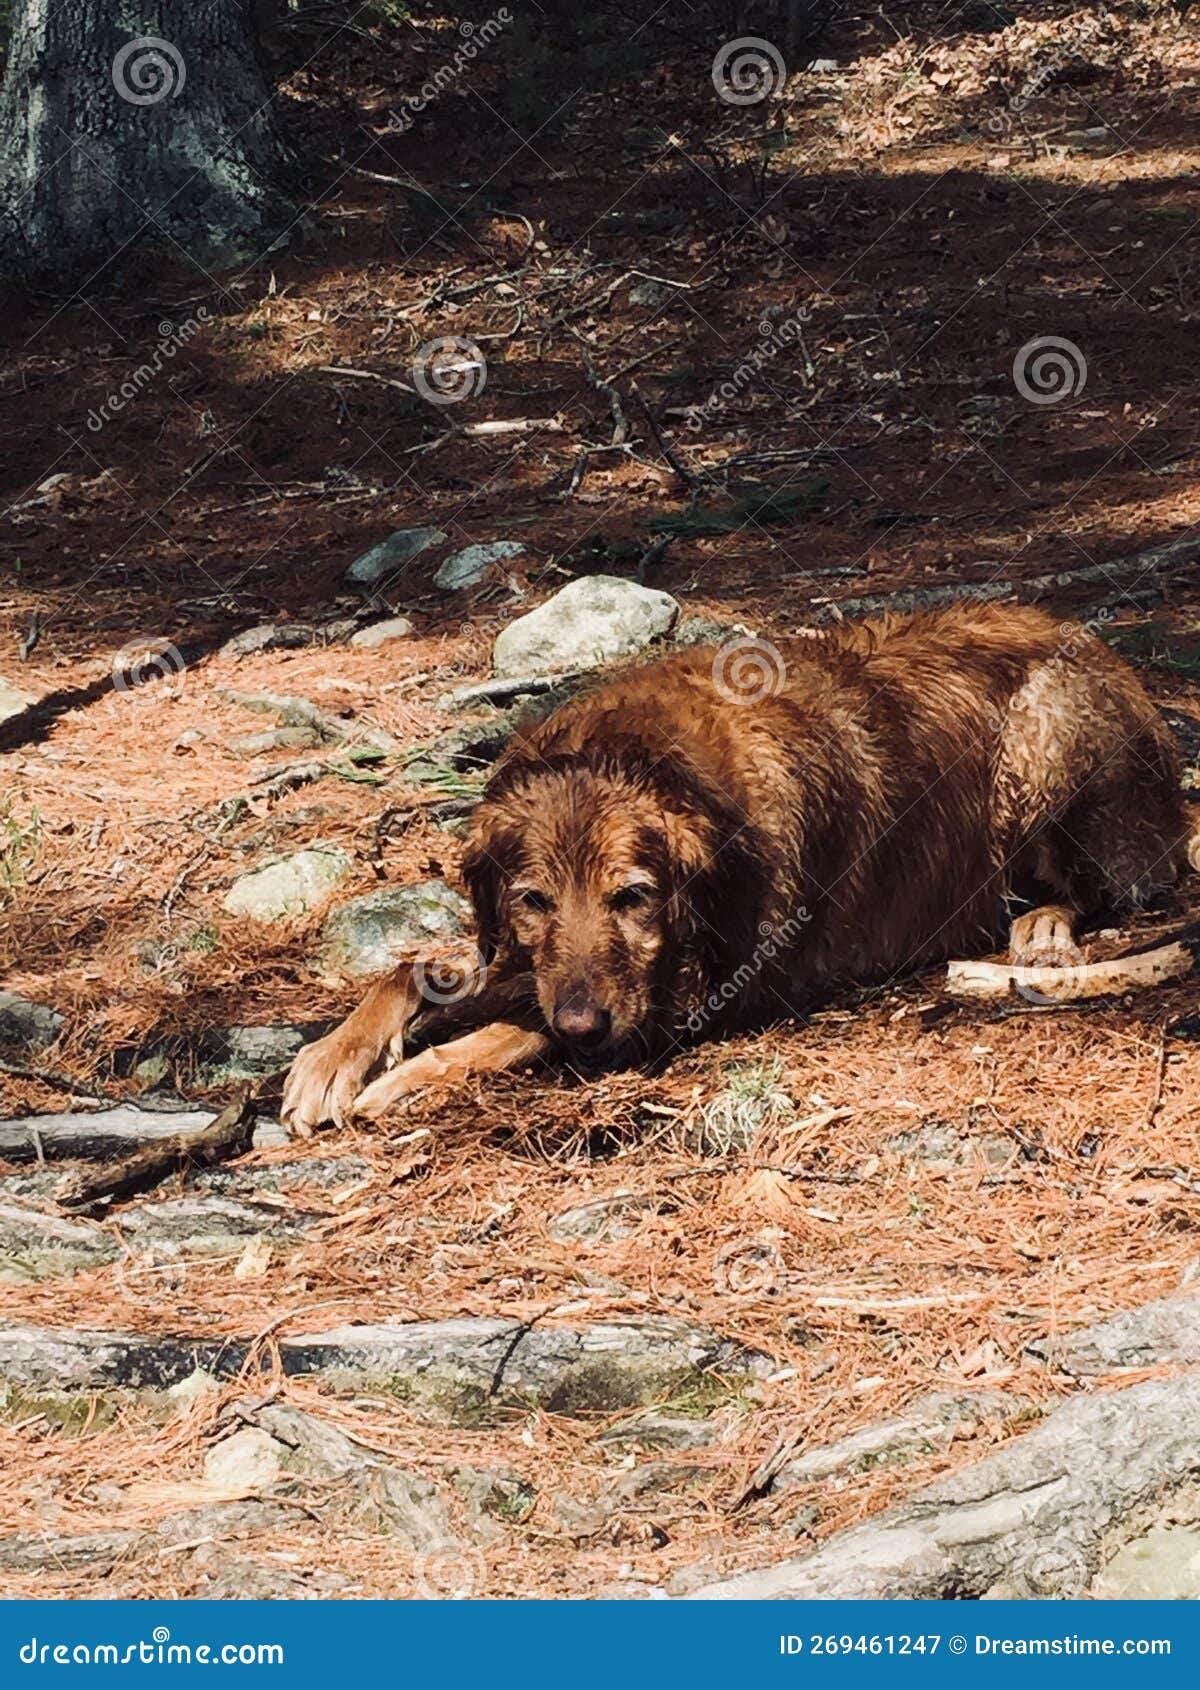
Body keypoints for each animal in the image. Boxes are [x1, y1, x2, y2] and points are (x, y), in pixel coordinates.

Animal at [282, 601, 1196, 1128]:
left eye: (635, 898)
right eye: (533, 901)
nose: (586, 1027)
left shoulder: (687, 1002)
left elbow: (514, 1028)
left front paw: (407, 1078)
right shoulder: (530, 961)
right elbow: (412, 969)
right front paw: (330, 1060)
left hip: (1038, 739)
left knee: (1104, 885)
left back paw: (1041, 925)